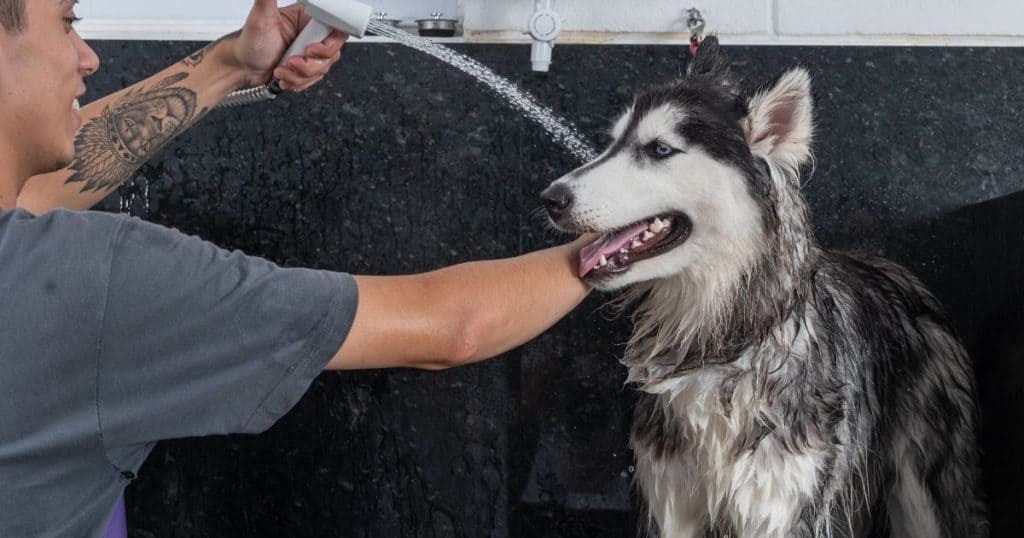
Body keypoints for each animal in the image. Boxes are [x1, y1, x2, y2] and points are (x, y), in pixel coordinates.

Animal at [544, 35, 983, 532]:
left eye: (659, 150)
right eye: (612, 143)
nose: (550, 199)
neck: (722, 345)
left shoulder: (776, 507)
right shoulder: (670, 502)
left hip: (925, 494)